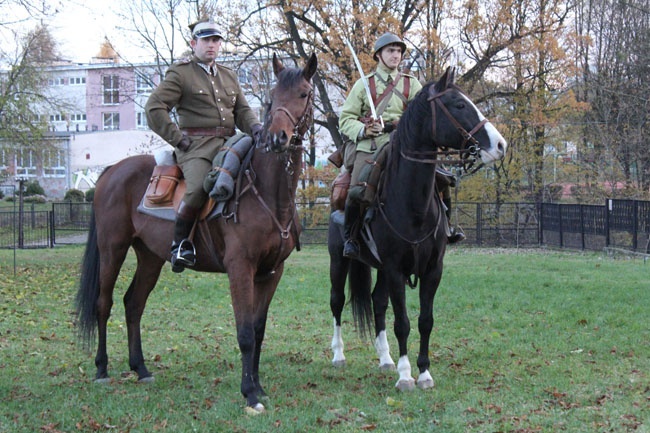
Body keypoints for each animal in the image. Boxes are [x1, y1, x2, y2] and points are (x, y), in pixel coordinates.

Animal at [76, 53, 316, 412]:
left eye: (303, 94)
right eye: (272, 96)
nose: (277, 138)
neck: (264, 188)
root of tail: (112, 170)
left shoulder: (272, 272)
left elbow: (258, 329)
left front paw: (259, 387)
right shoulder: (240, 269)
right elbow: (245, 332)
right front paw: (249, 393)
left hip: (150, 257)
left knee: (133, 304)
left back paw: (141, 368)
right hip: (112, 250)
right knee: (103, 303)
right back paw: (102, 369)